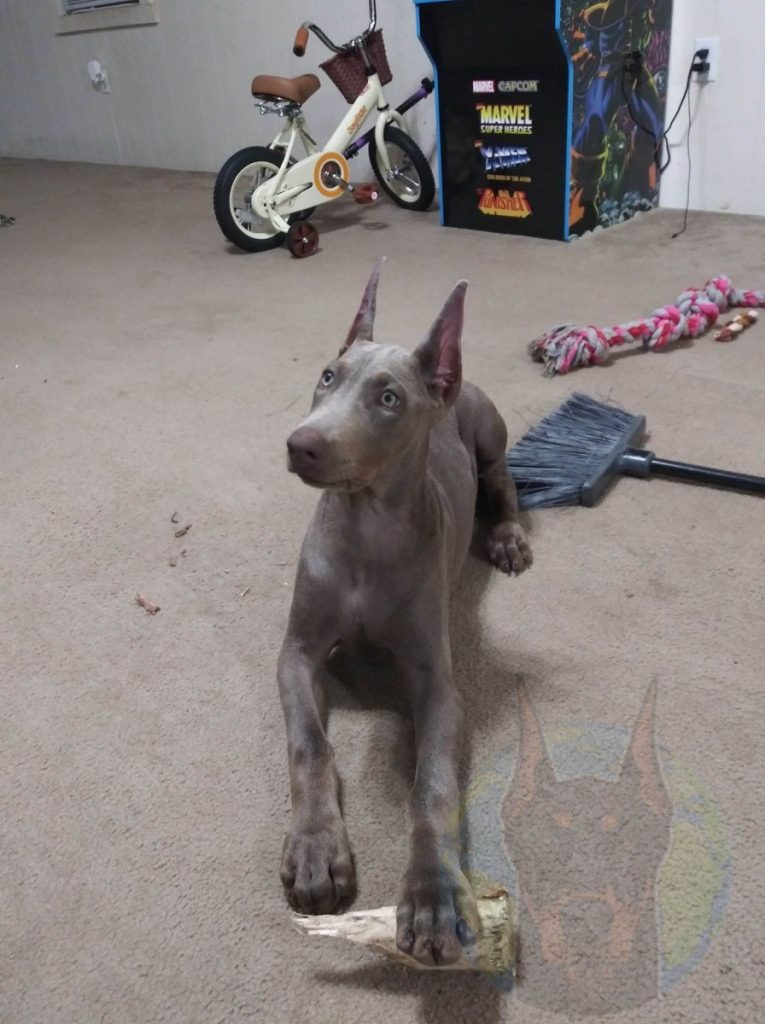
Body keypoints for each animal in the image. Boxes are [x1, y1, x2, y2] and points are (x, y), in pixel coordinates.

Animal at [276, 260, 532, 962]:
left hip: (491, 435)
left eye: (389, 399)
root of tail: (453, 386)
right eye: (327, 376)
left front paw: (432, 894)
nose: (300, 445)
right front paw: (316, 849)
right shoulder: (297, 653)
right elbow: (310, 743)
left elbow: (432, 783)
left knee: (505, 485)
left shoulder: (438, 683)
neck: (367, 530)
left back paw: (507, 538)